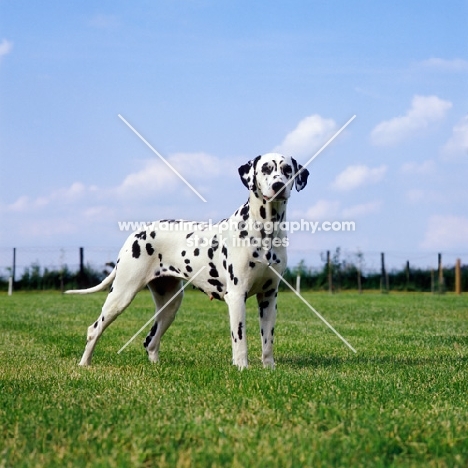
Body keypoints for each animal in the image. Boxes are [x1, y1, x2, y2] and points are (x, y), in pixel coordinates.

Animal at [65, 154, 308, 370]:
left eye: (287, 169)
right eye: (266, 169)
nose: (278, 185)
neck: (265, 230)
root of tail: (136, 233)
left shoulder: (269, 297)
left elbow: (267, 343)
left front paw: (269, 368)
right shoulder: (237, 297)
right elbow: (240, 341)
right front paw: (242, 368)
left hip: (170, 305)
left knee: (150, 340)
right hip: (121, 295)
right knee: (94, 330)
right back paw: (84, 364)